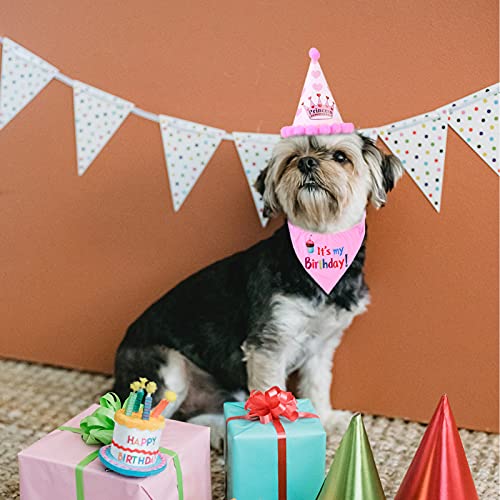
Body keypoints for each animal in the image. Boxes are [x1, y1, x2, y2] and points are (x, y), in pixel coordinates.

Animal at [112, 133, 402, 450]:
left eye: (340, 157)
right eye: (291, 158)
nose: (306, 162)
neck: (320, 261)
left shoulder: (322, 345)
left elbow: (317, 383)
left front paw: (325, 419)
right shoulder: (268, 345)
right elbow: (269, 390)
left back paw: (218, 432)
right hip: (168, 367)